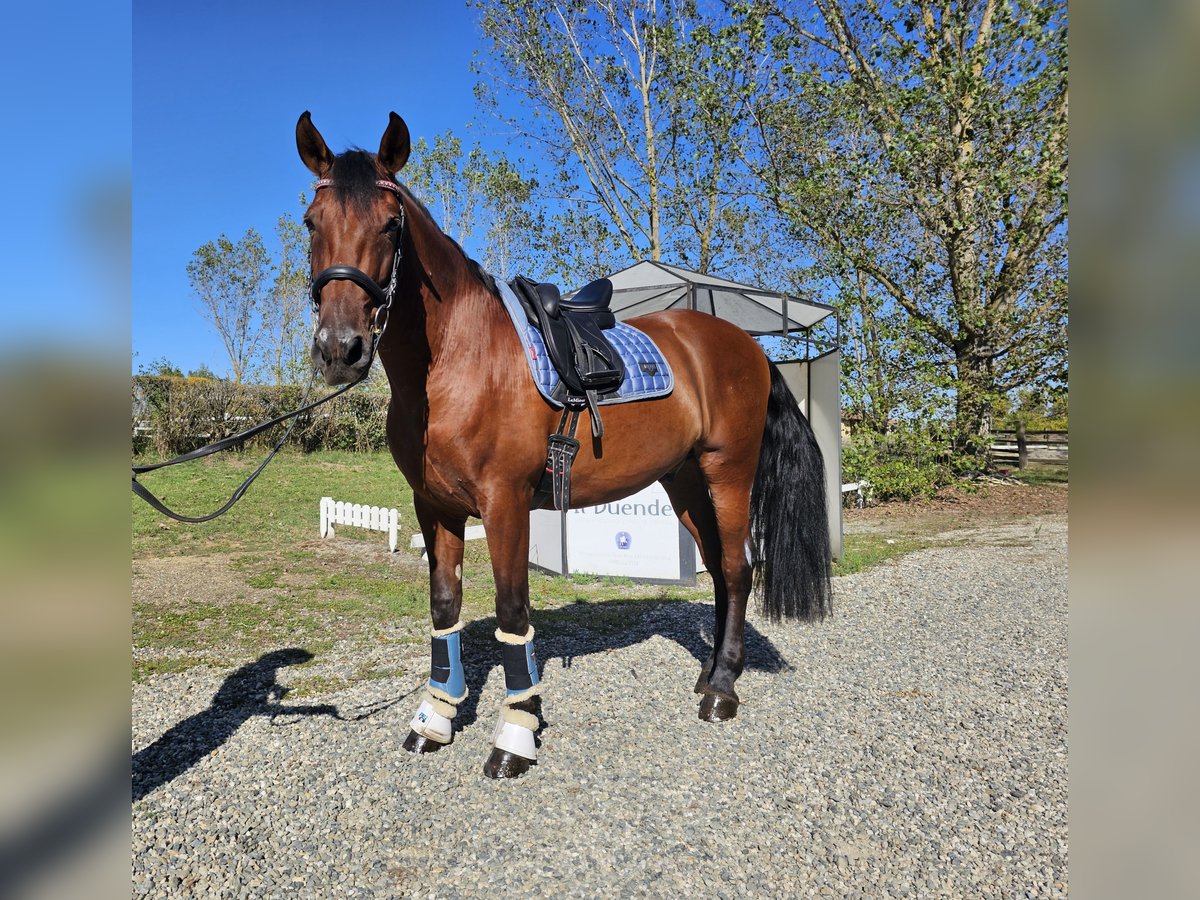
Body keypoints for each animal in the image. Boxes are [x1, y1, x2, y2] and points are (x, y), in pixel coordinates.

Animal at [296, 109, 830, 777]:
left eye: (391, 224)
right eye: (311, 222)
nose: (340, 349)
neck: (458, 360)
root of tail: (749, 347)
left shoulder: (505, 504)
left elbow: (512, 613)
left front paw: (515, 734)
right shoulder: (434, 506)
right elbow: (445, 609)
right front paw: (435, 719)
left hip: (727, 472)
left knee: (737, 568)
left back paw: (722, 691)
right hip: (684, 481)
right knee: (715, 569)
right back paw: (708, 675)